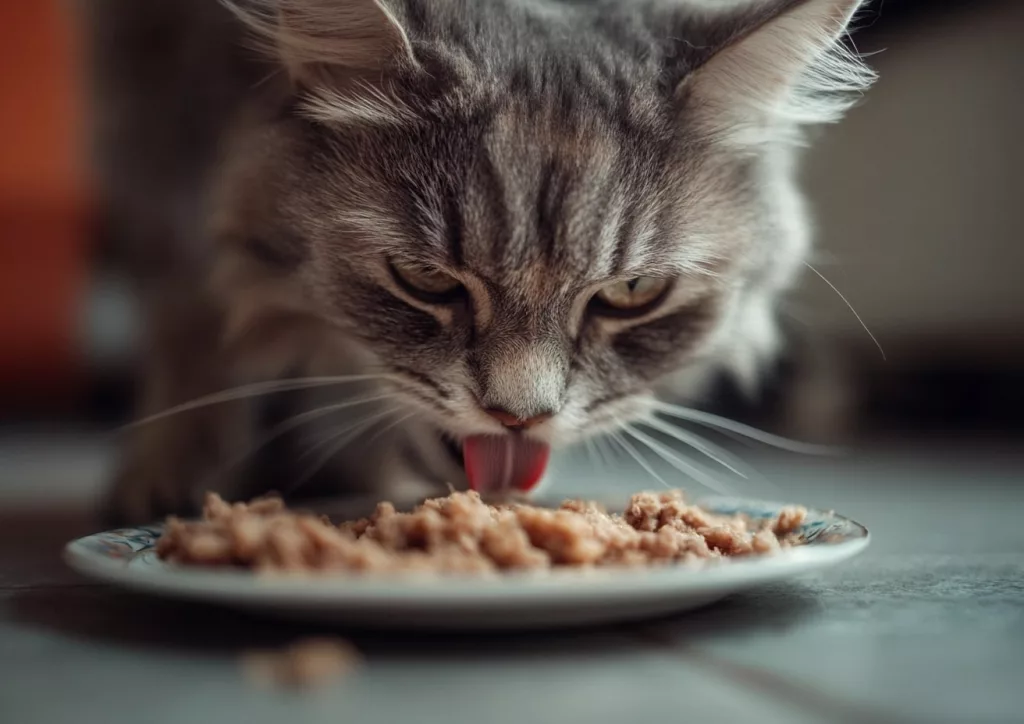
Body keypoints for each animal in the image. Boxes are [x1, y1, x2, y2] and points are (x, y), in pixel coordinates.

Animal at [79, 0, 876, 524]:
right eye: (426, 280)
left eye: (634, 291)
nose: (519, 418)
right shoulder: (153, 122)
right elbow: (190, 319)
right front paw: (173, 466)